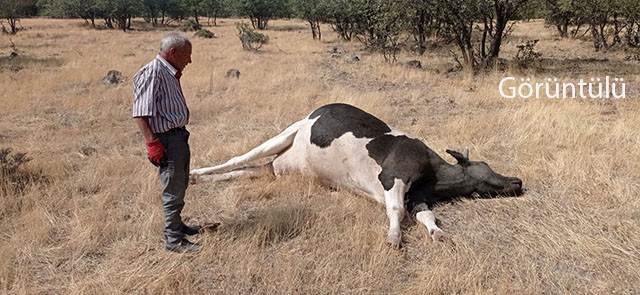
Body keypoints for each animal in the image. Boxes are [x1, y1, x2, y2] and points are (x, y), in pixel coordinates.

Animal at [189, 104, 520, 247]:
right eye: (486, 164)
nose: (517, 181)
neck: (433, 176)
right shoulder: (394, 177)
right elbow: (395, 210)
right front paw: (393, 237)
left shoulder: (418, 198)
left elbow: (426, 216)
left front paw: (438, 233)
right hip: (285, 133)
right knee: (238, 159)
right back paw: (194, 174)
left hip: (278, 170)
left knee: (250, 170)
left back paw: (202, 180)